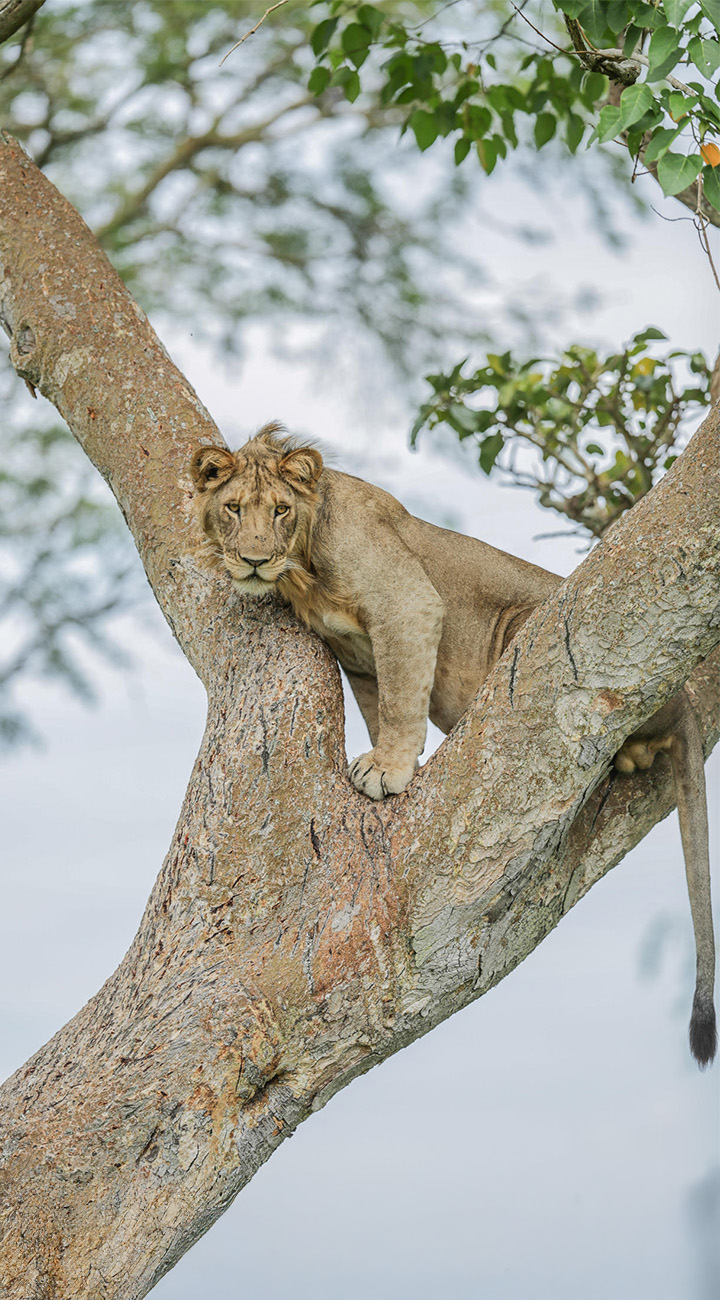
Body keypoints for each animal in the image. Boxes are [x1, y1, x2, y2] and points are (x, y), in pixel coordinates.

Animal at [190, 424, 716, 1067]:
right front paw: (391, 760)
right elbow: (384, 704)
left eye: (280, 511)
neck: (301, 565)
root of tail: (687, 699)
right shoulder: (356, 659)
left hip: (532, 626)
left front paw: (388, 771)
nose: (253, 558)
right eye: (234, 509)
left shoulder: (405, 603)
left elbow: (401, 698)